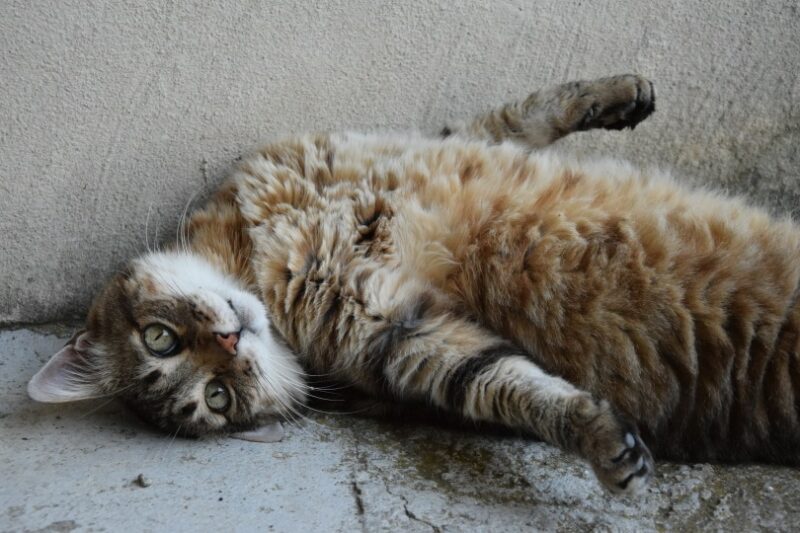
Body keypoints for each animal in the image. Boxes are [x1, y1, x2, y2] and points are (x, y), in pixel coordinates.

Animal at [25, 75, 800, 494]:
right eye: (218, 399)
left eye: (158, 337)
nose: (230, 341)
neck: (265, 270)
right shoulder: (404, 339)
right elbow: (507, 383)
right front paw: (596, 437)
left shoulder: (420, 146)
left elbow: (524, 111)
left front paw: (619, 95)